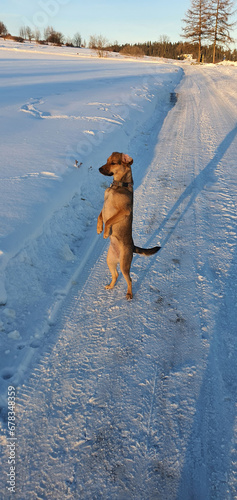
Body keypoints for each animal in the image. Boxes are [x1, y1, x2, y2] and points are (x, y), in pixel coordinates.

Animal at [96, 152, 161, 298]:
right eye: (107, 160)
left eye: (113, 163)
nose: (99, 169)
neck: (118, 186)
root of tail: (132, 247)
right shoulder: (104, 206)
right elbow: (100, 216)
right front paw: (99, 228)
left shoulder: (124, 211)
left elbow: (109, 220)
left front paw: (106, 232)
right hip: (110, 260)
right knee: (115, 275)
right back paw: (111, 286)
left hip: (124, 264)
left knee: (129, 279)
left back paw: (129, 294)